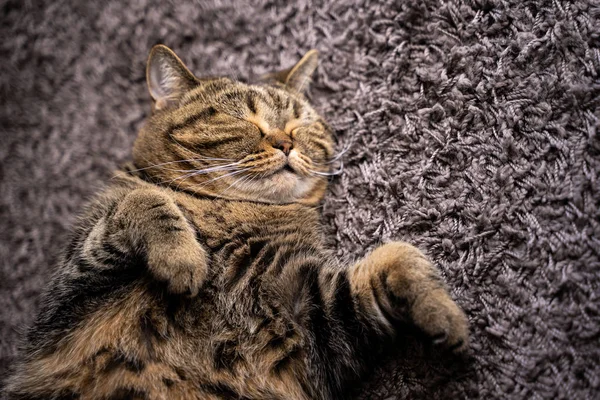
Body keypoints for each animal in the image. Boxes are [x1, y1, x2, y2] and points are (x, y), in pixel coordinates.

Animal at [7, 45, 472, 398]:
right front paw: (183, 258)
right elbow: (144, 198)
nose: (285, 142)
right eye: (240, 119)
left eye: (300, 122)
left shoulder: (311, 316)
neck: (234, 209)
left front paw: (442, 311)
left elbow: (398, 256)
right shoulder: (68, 295)